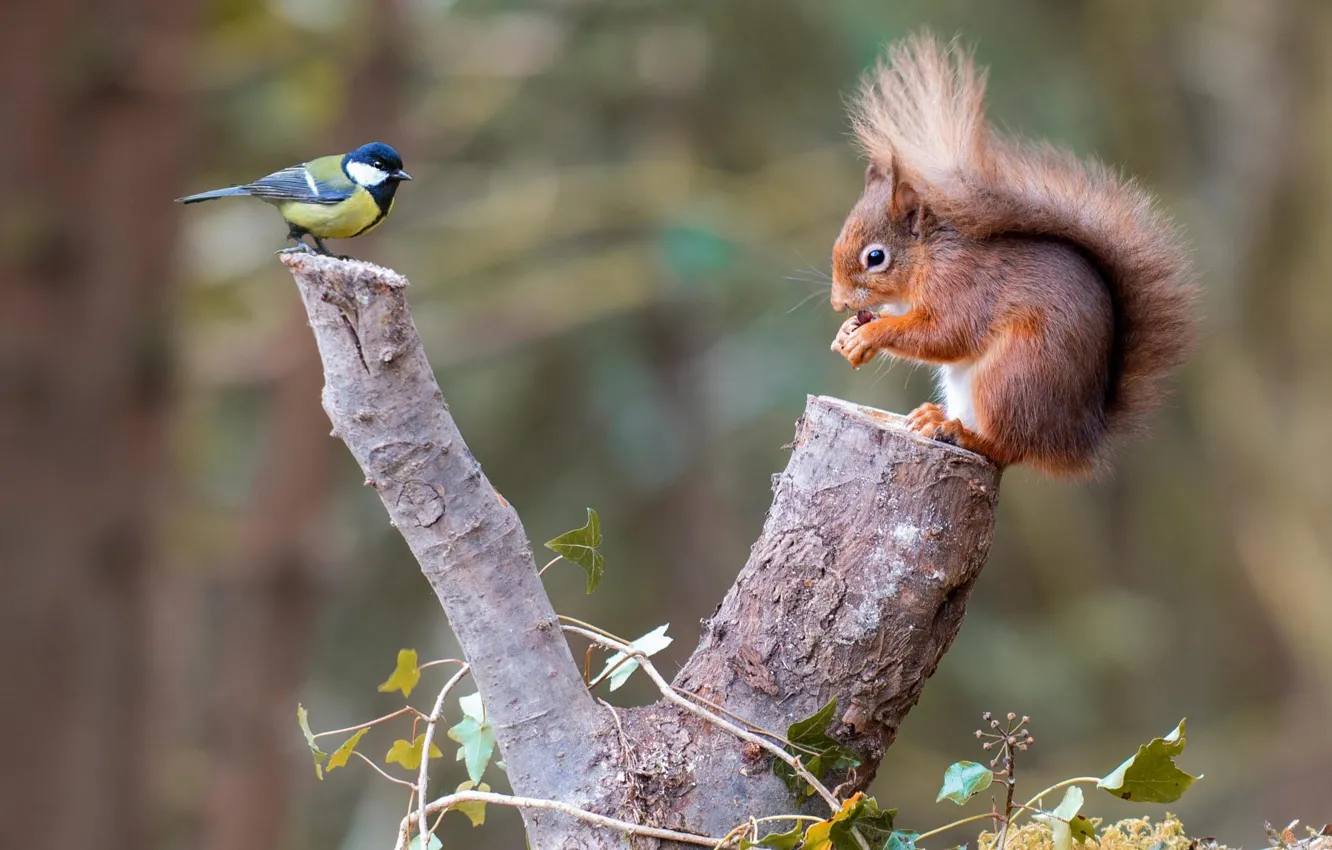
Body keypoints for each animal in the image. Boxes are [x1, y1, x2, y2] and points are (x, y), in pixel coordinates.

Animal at [828, 34, 1198, 477]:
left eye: (876, 257)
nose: (837, 302)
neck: (928, 257)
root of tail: (1076, 440)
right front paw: (846, 331)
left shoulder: (962, 285)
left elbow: (944, 334)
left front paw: (870, 334)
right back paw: (934, 418)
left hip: (1013, 376)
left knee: (1008, 448)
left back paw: (962, 434)